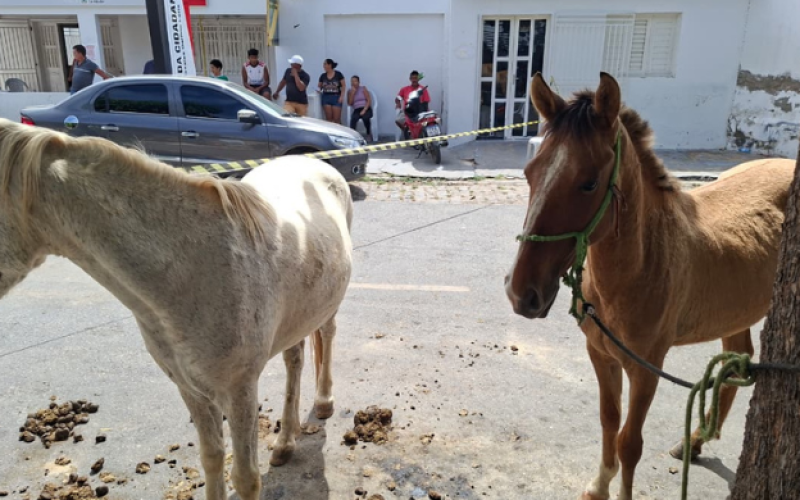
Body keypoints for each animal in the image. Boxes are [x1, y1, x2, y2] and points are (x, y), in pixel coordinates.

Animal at [0, 118, 354, 500]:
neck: (189, 270)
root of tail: (312, 163)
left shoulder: (240, 391)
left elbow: (246, 477)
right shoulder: (190, 388)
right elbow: (212, 457)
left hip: (328, 305)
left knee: (327, 335)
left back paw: (324, 401)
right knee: (295, 360)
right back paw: (285, 442)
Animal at [505, 73, 794, 500]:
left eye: (589, 184)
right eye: (529, 173)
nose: (521, 293)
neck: (637, 269)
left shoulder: (646, 369)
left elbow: (630, 442)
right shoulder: (601, 354)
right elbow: (609, 421)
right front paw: (599, 485)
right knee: (737, 359)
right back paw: (694, 442)